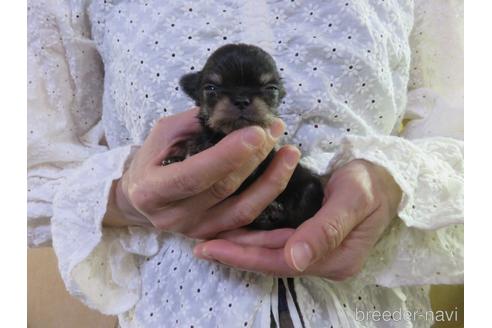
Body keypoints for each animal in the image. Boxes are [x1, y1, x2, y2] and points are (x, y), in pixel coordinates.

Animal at [165, 44, 322, 231]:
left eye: (271, 89)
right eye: (211, 89)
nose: (241, 99)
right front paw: (175, 159)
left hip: (310, 189)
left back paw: (271, 214)